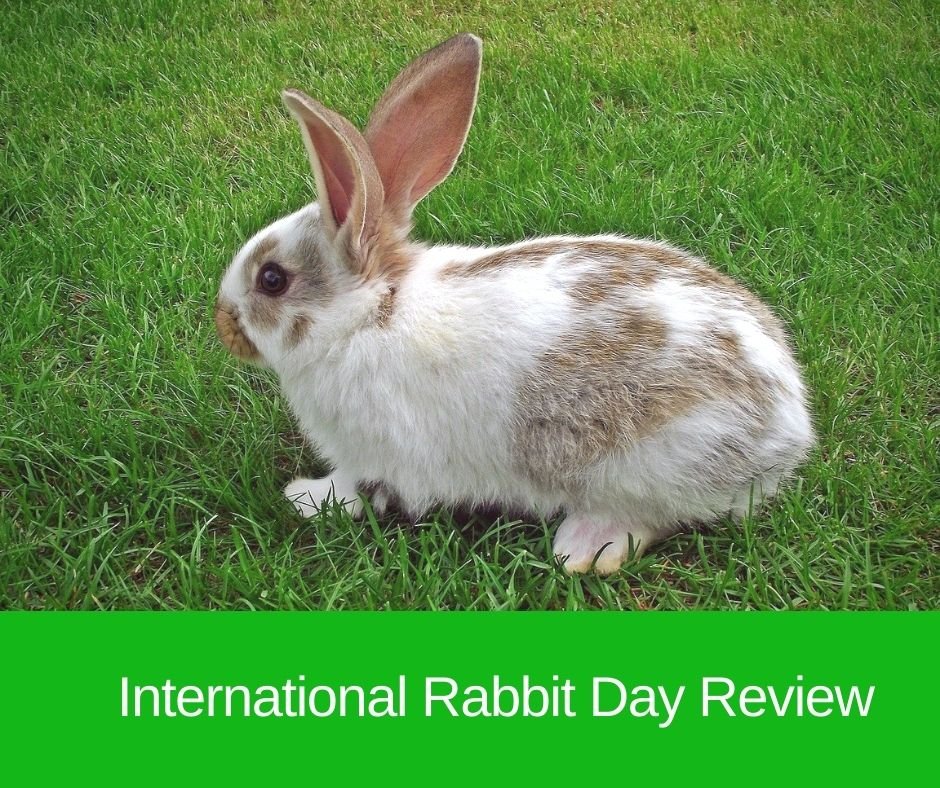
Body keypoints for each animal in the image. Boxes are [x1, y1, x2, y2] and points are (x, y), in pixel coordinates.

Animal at [215, 33, 815, 575]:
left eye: (272, 279)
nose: (223, 321)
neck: (369, 316)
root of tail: (790, 426)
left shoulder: (373, 455)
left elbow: (352, 488)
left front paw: (305, 497)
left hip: (646, 465)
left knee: (653, 519)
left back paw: (582, 549)